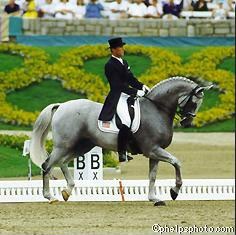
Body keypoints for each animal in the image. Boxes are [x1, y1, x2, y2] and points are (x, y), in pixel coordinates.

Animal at [30, 76, 210, 204]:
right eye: (194, 102)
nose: (187, 122)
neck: (156, 109)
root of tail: (61, 105)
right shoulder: (153, 150)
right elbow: (176, 162)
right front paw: (174, 191)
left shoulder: (155, 152)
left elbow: (152, 175)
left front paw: (154, 199)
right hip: (64, 145)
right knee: (47, 165)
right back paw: (50, 197)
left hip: (81, 146)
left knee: (62, 162)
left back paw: (67, 191)